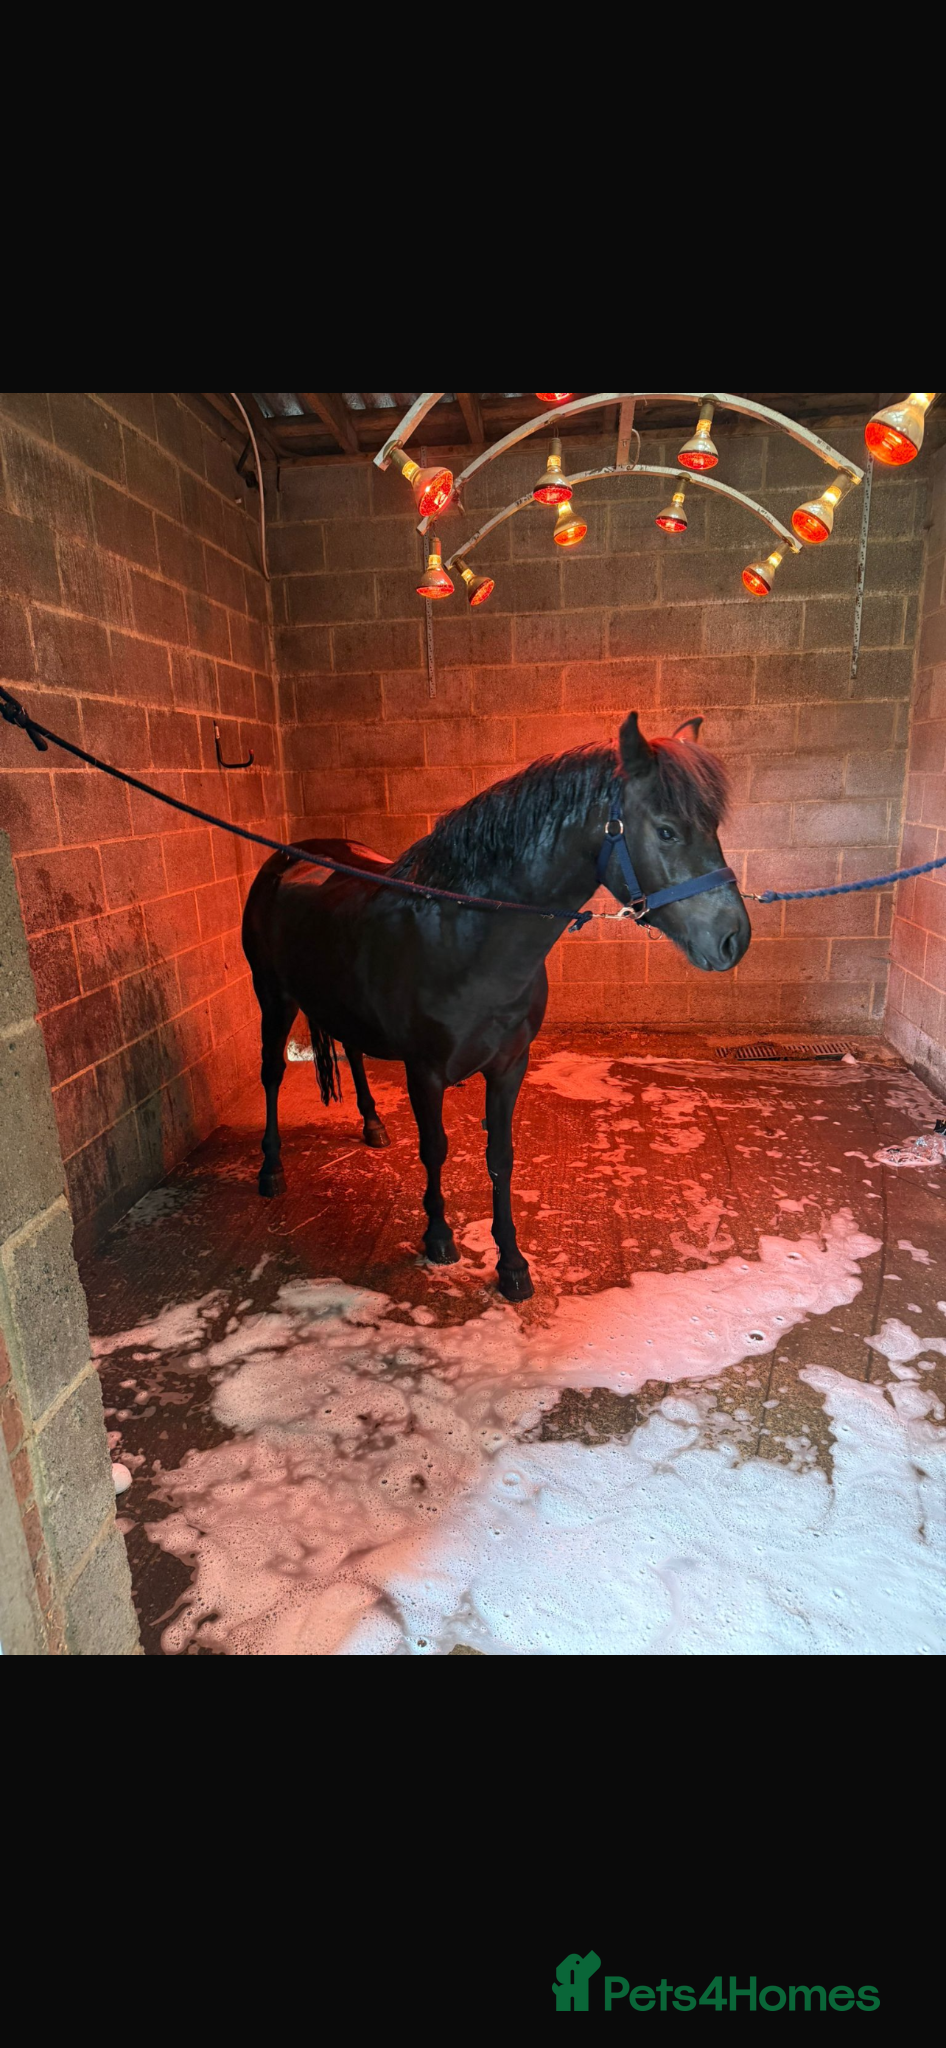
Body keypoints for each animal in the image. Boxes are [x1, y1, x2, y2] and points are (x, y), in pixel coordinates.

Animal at [241, 710, 751, 1302]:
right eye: (667, 830)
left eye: (712, 829)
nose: (734, 939)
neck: (463, 931)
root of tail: (285, 859)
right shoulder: (425, 1072)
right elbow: (435, 1149)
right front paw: (439, 1238)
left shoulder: (509, 1067)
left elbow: (500, 1158)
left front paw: (511, 1265)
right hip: (272, 999)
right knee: (271, 1074)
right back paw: (271, 1169)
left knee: (354, 1051)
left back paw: (372, 1124)